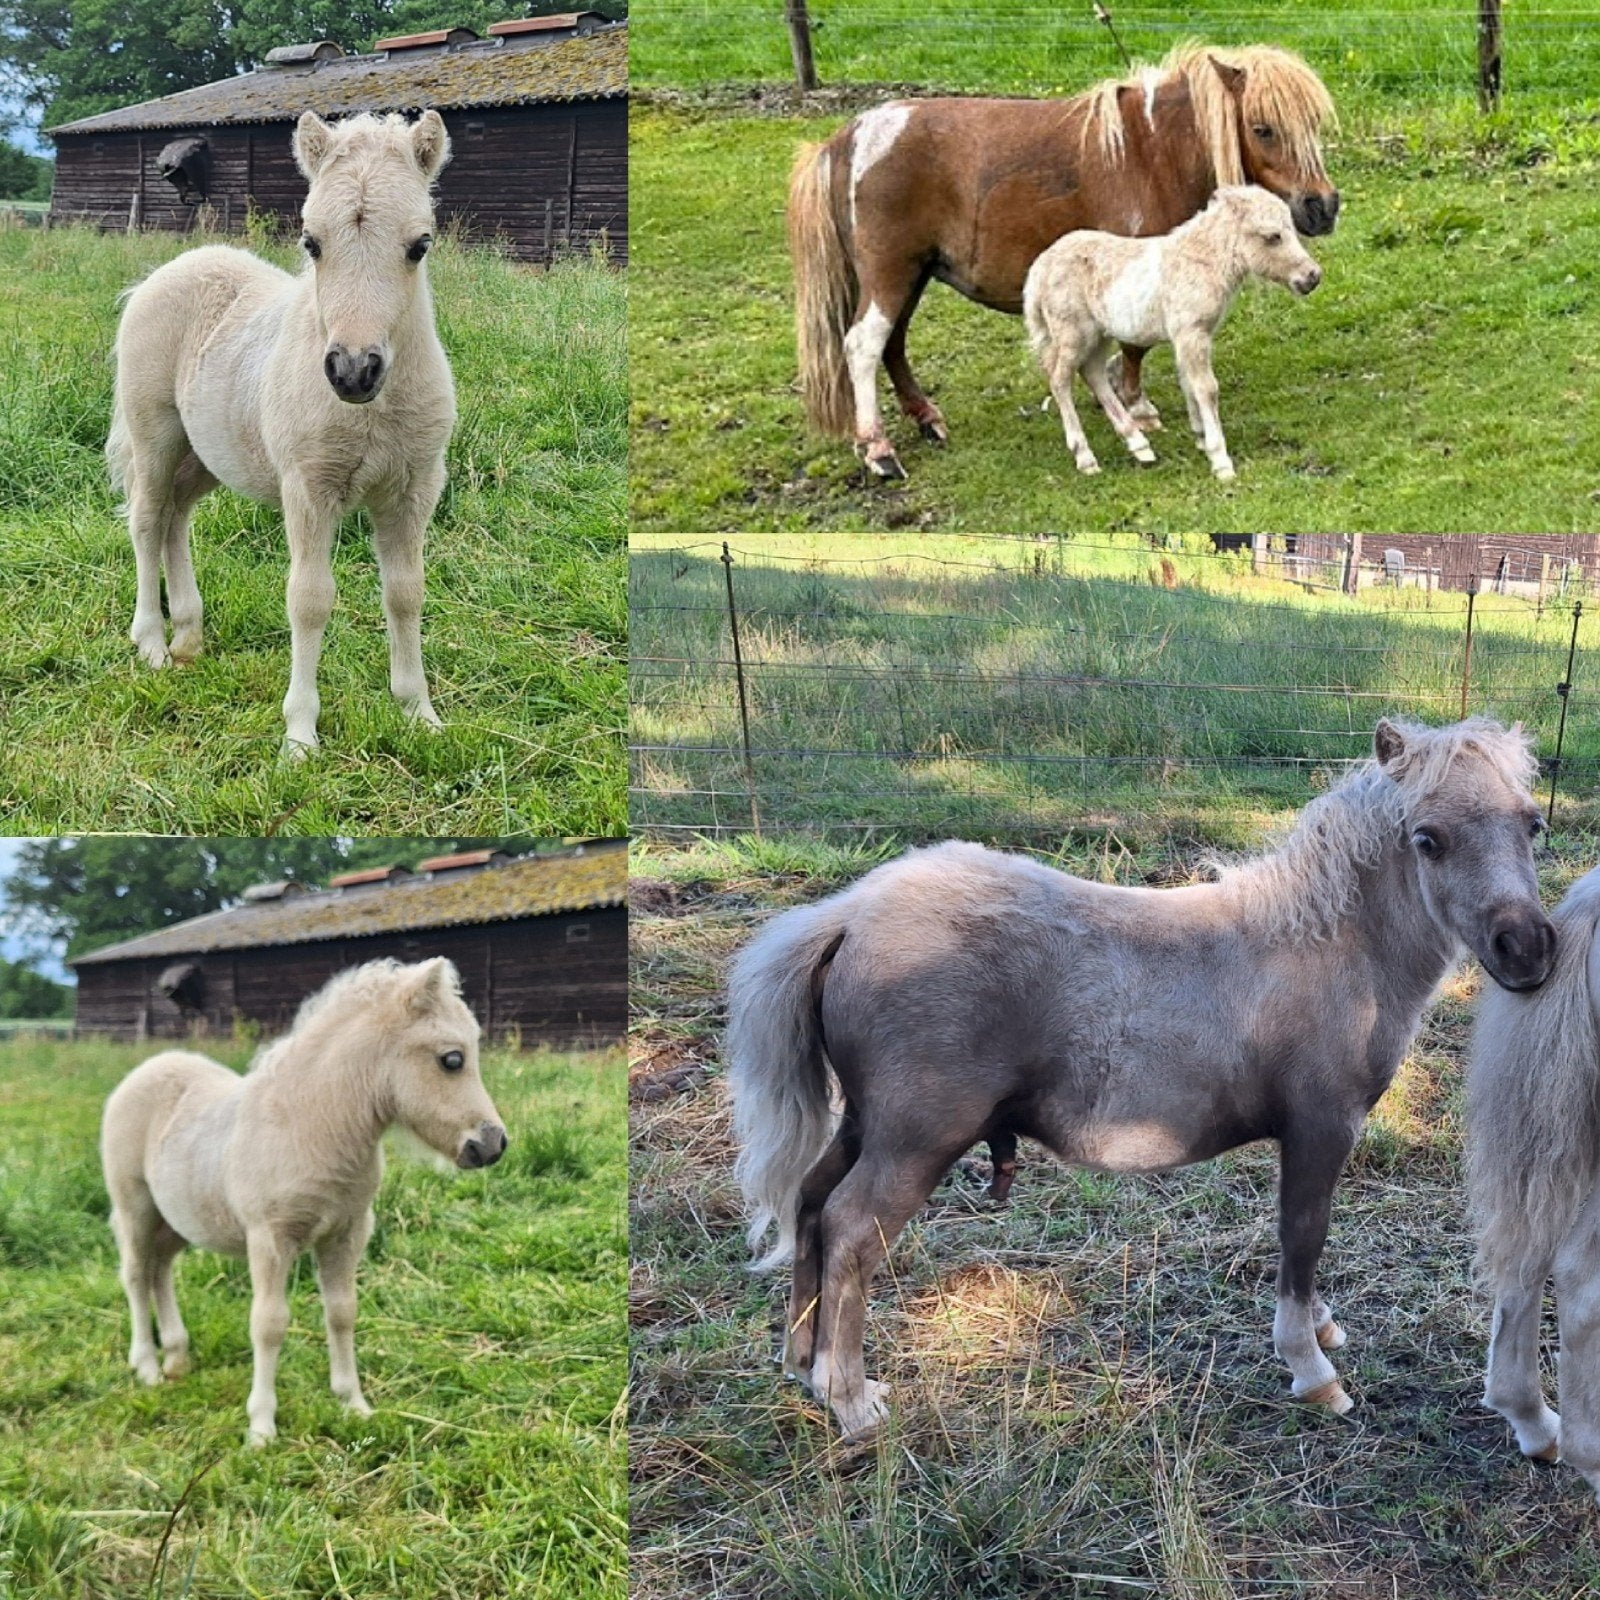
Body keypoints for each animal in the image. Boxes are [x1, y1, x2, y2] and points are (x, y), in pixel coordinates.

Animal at [100, 957, 506, 1446]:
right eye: (452, 1060)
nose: (492, 1144)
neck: (311, 1124)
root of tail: (149, 1067)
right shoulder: (270, 1238)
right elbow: (269, 1324)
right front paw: (261, 1427)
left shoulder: (347, 1233)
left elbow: (342, 1313)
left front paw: (353, 1404)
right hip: (135, 1206)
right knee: (136, 1273)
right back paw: (147, 1366)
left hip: (178, 1220)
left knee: (160, 1268)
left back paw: (178, 1359)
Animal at [106, 110, 456, 755]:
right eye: (311, 243)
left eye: (420, 245)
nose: (352, 370)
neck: (371, 410)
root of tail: (161, 274)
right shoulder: (308, 488)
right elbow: (310, 599)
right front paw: (299, 736)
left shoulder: (415, 487)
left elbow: (406, 591)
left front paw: (417, 711)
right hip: (155, 432)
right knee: (145, 517)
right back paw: (152, 642)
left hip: (207, 455)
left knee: (174, 516)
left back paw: (188, 635)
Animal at [727, 718, 1553, 1440]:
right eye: (1428, 839)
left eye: (1532, 825)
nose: (1527, 949)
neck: (1324, 947)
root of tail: (848, 917)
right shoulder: (1320, 1127)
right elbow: (1304, 1235)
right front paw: (1312, 1370)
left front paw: (1321, 1329)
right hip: (915, 1140)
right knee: (850, 1230)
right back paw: (851, 1400)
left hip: (866, 1123)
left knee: (811, 1204)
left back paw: (802, 1364)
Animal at [1024, 186, 1321, 481]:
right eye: (1272, 236)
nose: (1312, 276)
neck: (1202, 260)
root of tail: (1038, 271)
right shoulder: (1192, 333)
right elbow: (1206, 388)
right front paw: (1220, 460)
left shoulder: (1188, 337)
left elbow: (1189, 382)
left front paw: (1201, 437)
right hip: (1072, 332)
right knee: (1060, 380)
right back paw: (1085, 457)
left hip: (1099, 334)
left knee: (1093, 373)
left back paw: (1139, 446)